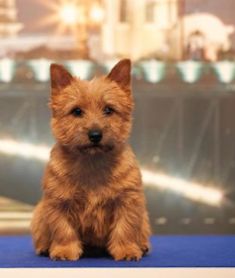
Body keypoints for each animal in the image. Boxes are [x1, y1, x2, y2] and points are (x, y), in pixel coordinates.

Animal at [30, 58, 151, 260]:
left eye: (109, 110)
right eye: (77, 111)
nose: (95, 135)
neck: (92, 164)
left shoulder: (128, 201)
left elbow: (125, 228)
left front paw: (126, 250)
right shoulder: (58, 203)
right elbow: (63, 230)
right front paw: (64, 251)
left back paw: (142, 246)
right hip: (39, 215)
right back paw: (44, 248)